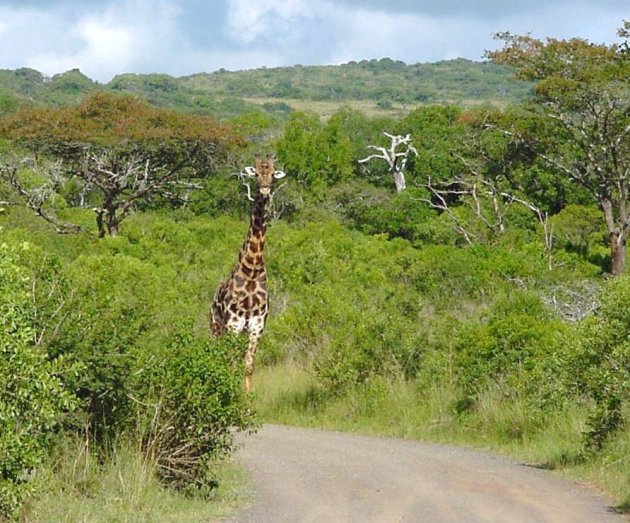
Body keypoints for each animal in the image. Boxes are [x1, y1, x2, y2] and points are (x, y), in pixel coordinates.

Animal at [211, 156, 286, 392]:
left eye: (272, 175)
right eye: (257, 174)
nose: (265, 188)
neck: (252, 271)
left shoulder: (256, 325)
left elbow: (248, 366)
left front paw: (247, 400)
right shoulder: (233, 324)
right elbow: (233, 363)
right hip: (216, 327)